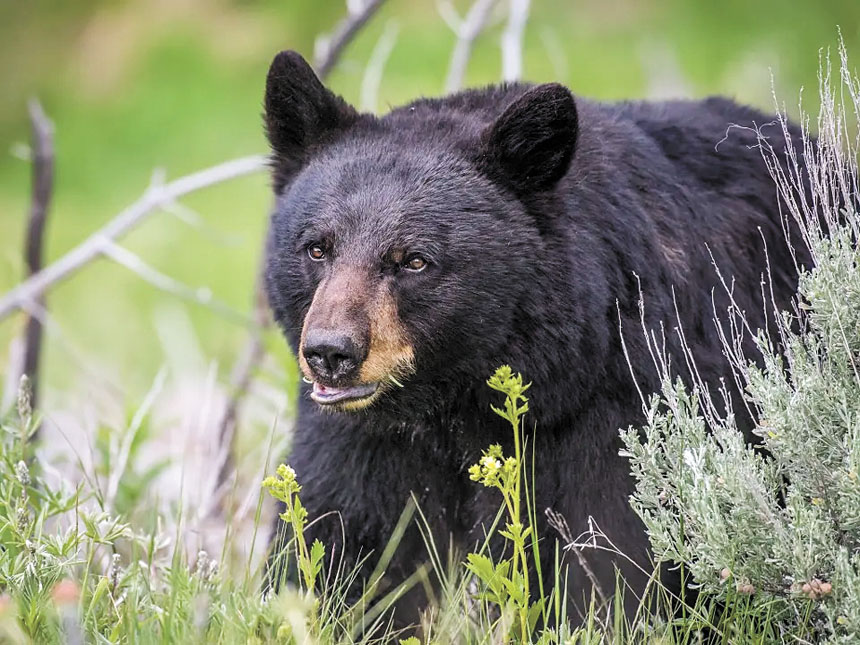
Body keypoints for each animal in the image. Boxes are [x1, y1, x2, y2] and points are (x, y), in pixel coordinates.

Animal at [261, 50, 807, 624]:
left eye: (413, 260)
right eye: (317, 248)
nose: (330, 352)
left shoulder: (623, 403)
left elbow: (614, 554)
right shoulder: (364, 440)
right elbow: (343, 537)